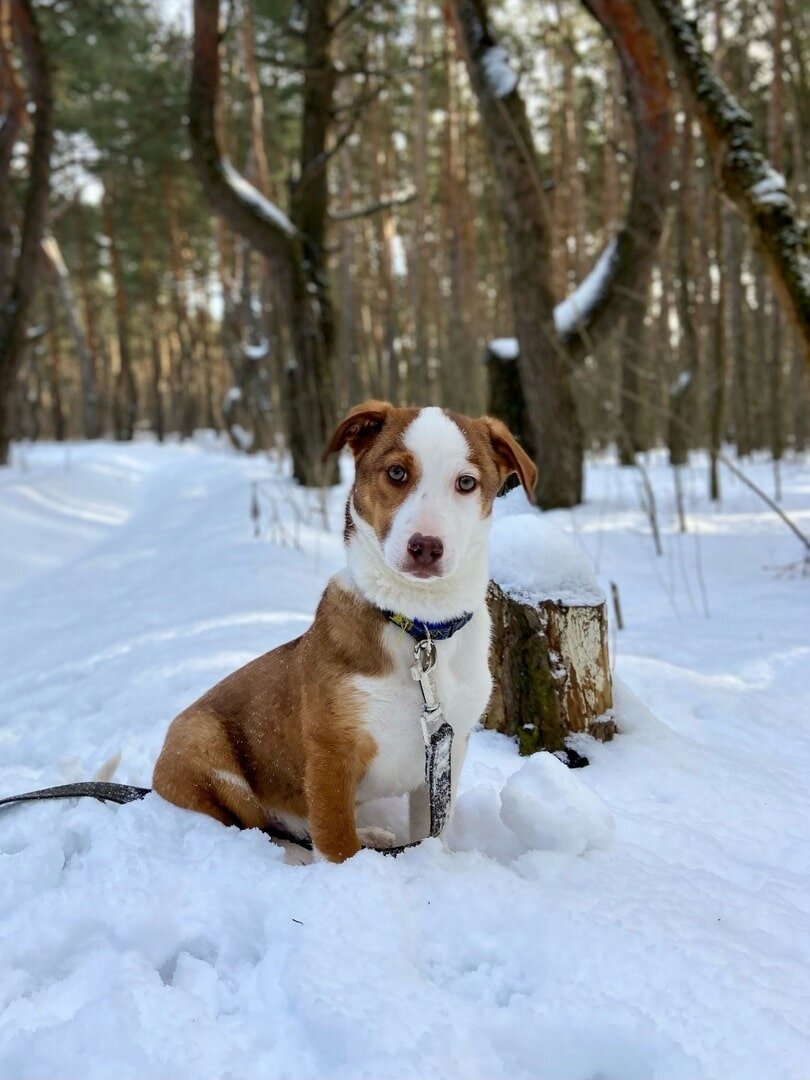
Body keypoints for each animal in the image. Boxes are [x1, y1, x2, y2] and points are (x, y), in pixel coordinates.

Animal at [153, 401, 540, 864]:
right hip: (200, 741)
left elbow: (430, 830)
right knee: (263, 825)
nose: (426, 547)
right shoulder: (331, 749)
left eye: (466, 482)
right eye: (396, 473)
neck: (420, 625)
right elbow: (336, 841)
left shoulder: (449, 745)